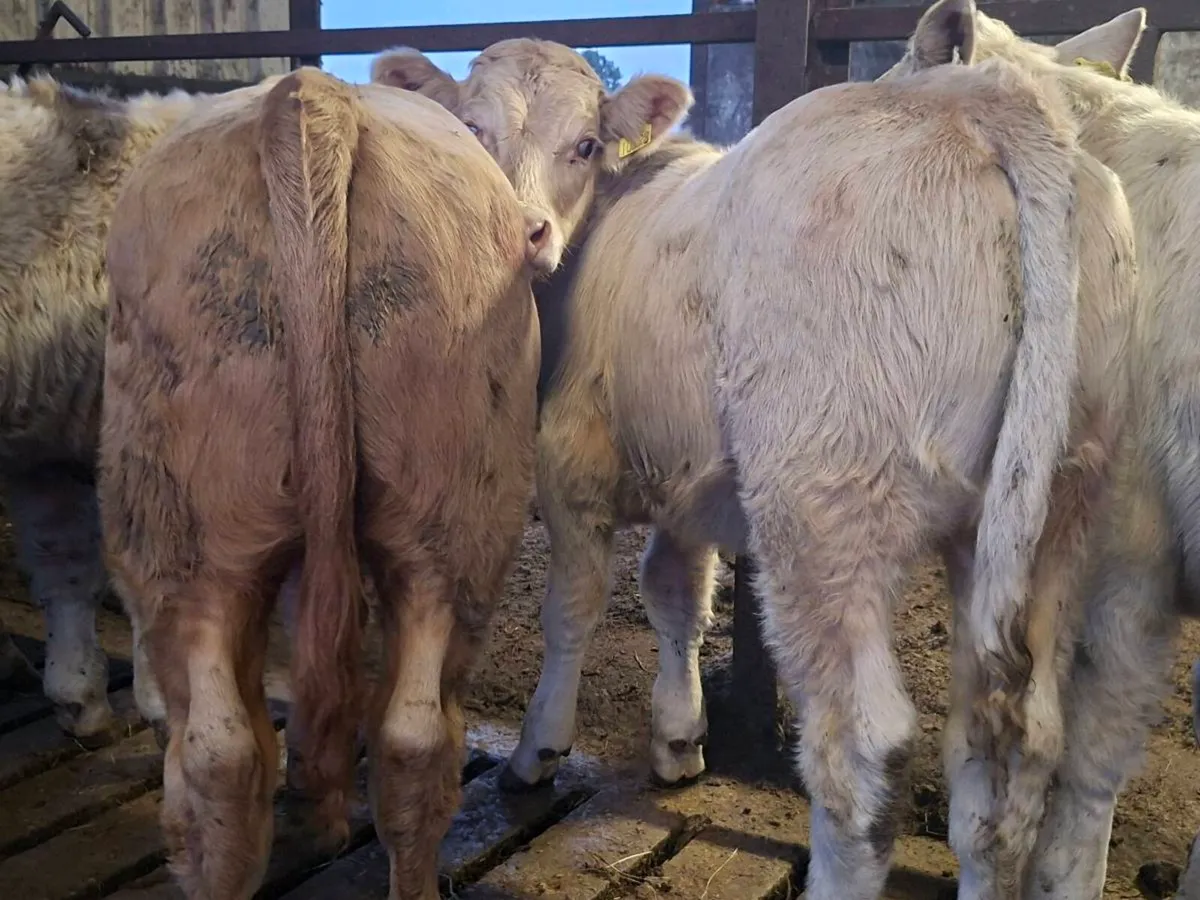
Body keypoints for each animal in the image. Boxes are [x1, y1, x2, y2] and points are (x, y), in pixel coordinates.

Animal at [381, 36, 1137, 900]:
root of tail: (978, 101)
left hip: (825, 509)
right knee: (1017, 741)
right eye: (472, 129)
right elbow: (675, 594)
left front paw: (539, 747)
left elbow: (571, 606)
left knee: (862, 745)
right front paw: (679, 740)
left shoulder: (570, 452)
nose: (523, 231)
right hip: (1055, 516)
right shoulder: (689, 482)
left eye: (585, 144)